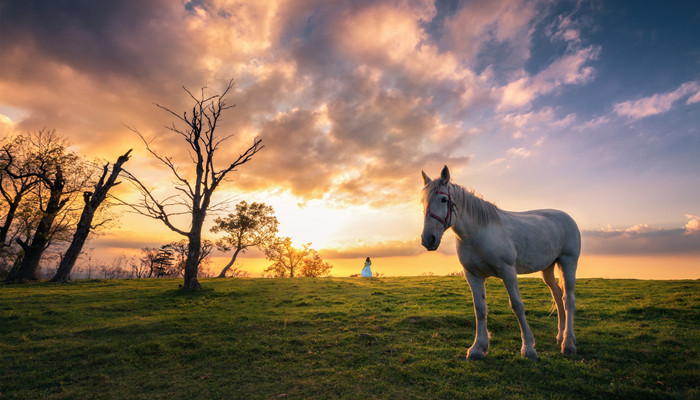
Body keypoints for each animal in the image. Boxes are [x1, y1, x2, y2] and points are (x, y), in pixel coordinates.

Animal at [422, 166, 580, 360]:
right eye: (423, 201)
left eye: (444, 200)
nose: (428, 239)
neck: (478, 234)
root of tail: (566, 217)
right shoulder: (473, 275)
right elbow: (480, 309)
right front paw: (477, 348)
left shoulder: (508, 272)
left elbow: (517, 306)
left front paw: (528, 348)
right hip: (548, 268)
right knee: (558, 295)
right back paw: (560, 336)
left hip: (568, 261)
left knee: (568, 299)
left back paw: (568, 343)